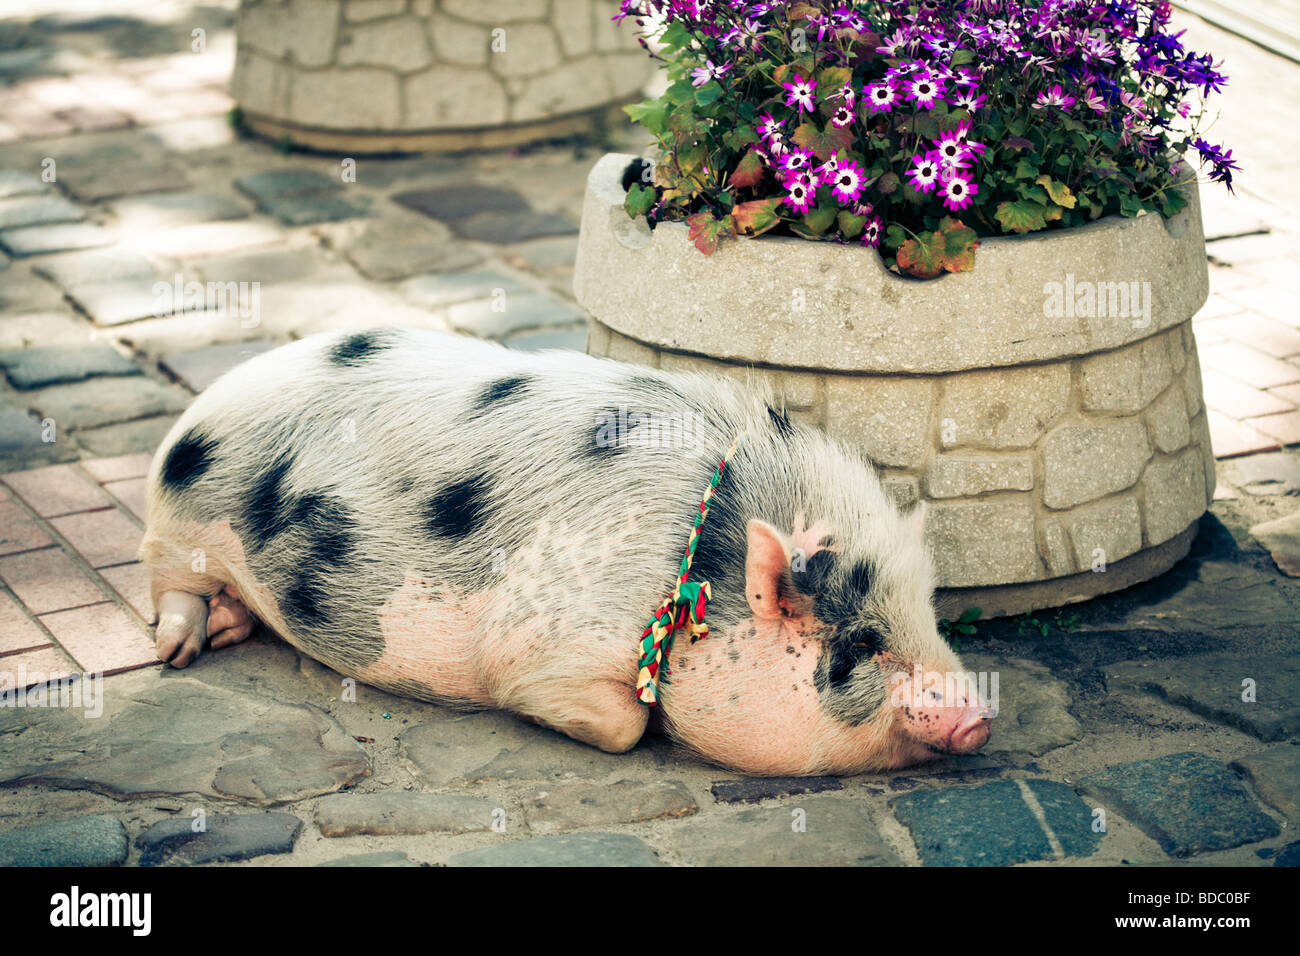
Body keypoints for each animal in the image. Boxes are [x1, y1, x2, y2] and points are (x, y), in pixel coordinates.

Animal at [139, 329, 993, 780]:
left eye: (926, 613)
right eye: (861, 642)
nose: (982, 712)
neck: (695, 562)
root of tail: (206, 401)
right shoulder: (537, 642)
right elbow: (621, 725)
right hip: (175, 528)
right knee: (167, 587)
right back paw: (184, 650)